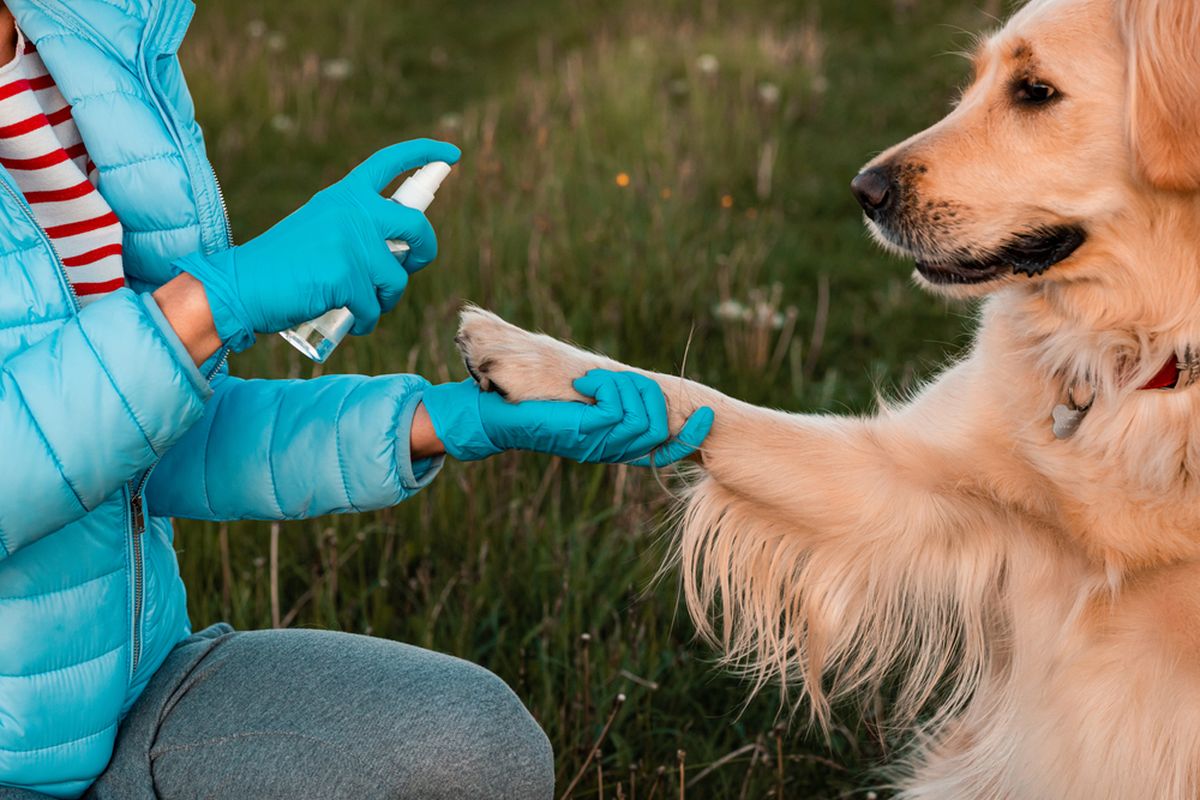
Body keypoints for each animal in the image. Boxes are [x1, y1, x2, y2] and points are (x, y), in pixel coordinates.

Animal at [453, 0, 1195, 796]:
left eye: (1034, 91)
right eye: (972, 83)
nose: (864, 192)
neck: (1141, 363)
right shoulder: (891, 484)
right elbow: (704, 399)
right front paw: (523, 355)